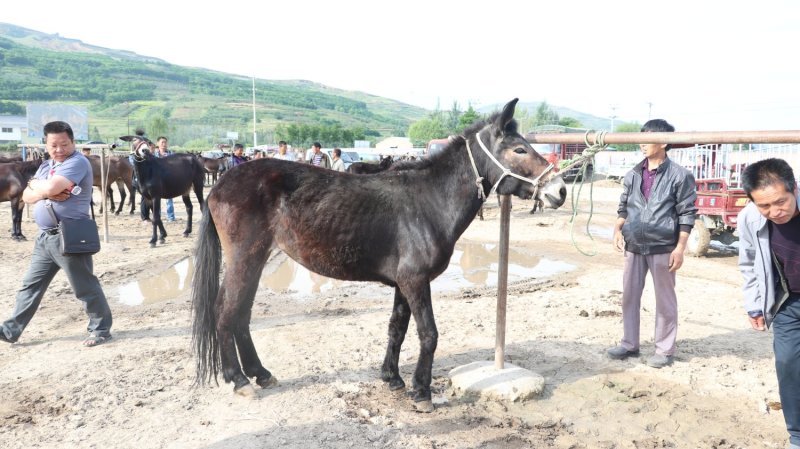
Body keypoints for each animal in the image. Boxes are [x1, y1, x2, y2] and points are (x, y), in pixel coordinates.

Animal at [190, 99, 567, 412]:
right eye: (519, 149)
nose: (560, 191)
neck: (430, 201)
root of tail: (222, 182)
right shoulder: (416, 282)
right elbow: (428, 333)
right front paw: (421, 392)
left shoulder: (404, 283)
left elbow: (397, 328)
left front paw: (393, 378)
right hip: (245, 259)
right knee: (226, 312)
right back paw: (239, 379)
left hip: (256, 260)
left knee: (241, 314)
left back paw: (260, 373)